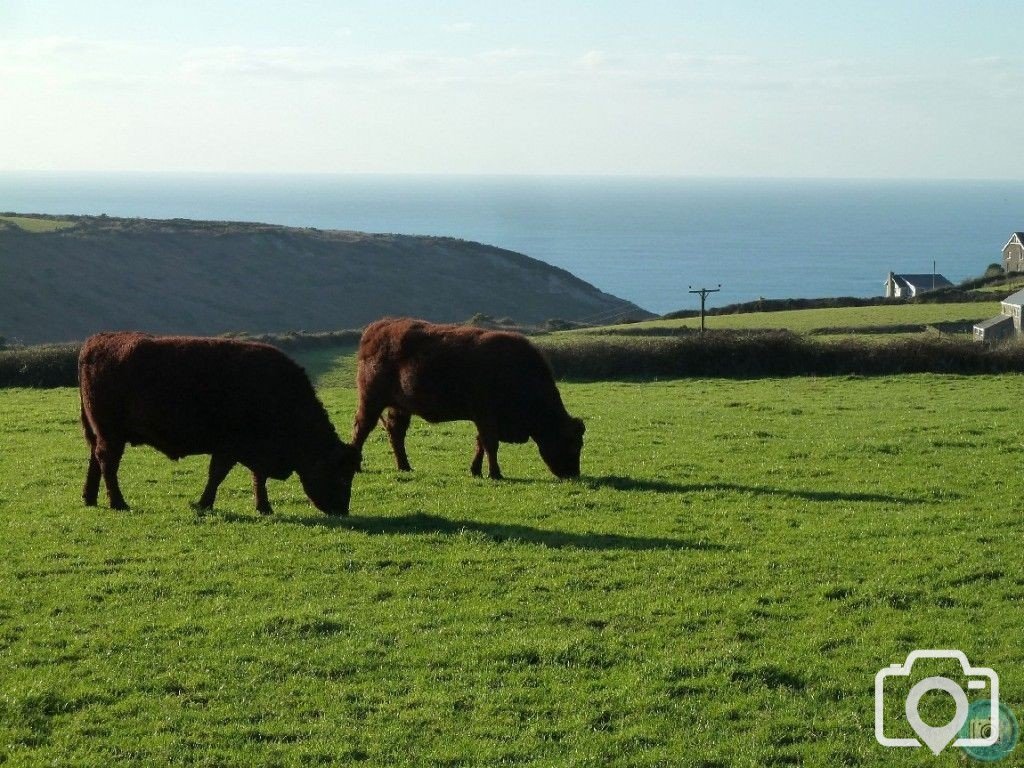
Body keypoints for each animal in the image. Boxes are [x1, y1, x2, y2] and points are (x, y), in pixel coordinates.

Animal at [75, 331, 358, 518]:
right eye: (341, 475)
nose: (342, 510)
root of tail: (98, 340)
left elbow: (258, 477)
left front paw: (264, 507)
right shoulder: (228, 447)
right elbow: (218, 475)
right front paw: (204, 504)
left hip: (100, 433)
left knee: (95, 459)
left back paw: (90, 498)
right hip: (112, 435)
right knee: (107, 463)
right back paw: (118, 503)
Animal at [352, 319, 585, 481]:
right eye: (572, 444)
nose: (572, 474)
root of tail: (377, 328)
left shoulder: (483, 419)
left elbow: (480, 443)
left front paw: (476, 470)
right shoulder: (486, 416)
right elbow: (490, 444)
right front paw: (495, 474)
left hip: (400, 407)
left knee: (396, 433)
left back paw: (405, 467)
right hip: (371, 401)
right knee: (362, 428)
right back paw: (356, 465)